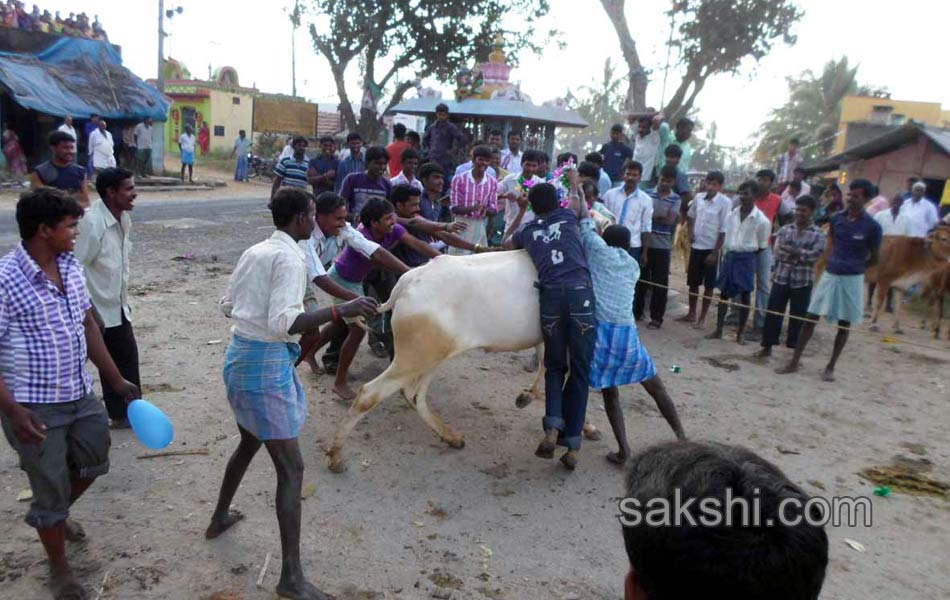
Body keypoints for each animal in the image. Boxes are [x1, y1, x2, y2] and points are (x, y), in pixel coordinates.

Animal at [324, 250, 584, 474]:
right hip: (414, 358)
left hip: (432, 358)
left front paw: (528, 397)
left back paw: (450, 437)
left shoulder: (547, 341)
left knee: (414, 395)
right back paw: (335, 456)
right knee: (369, 394)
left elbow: (548, 371)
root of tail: (409, 280)